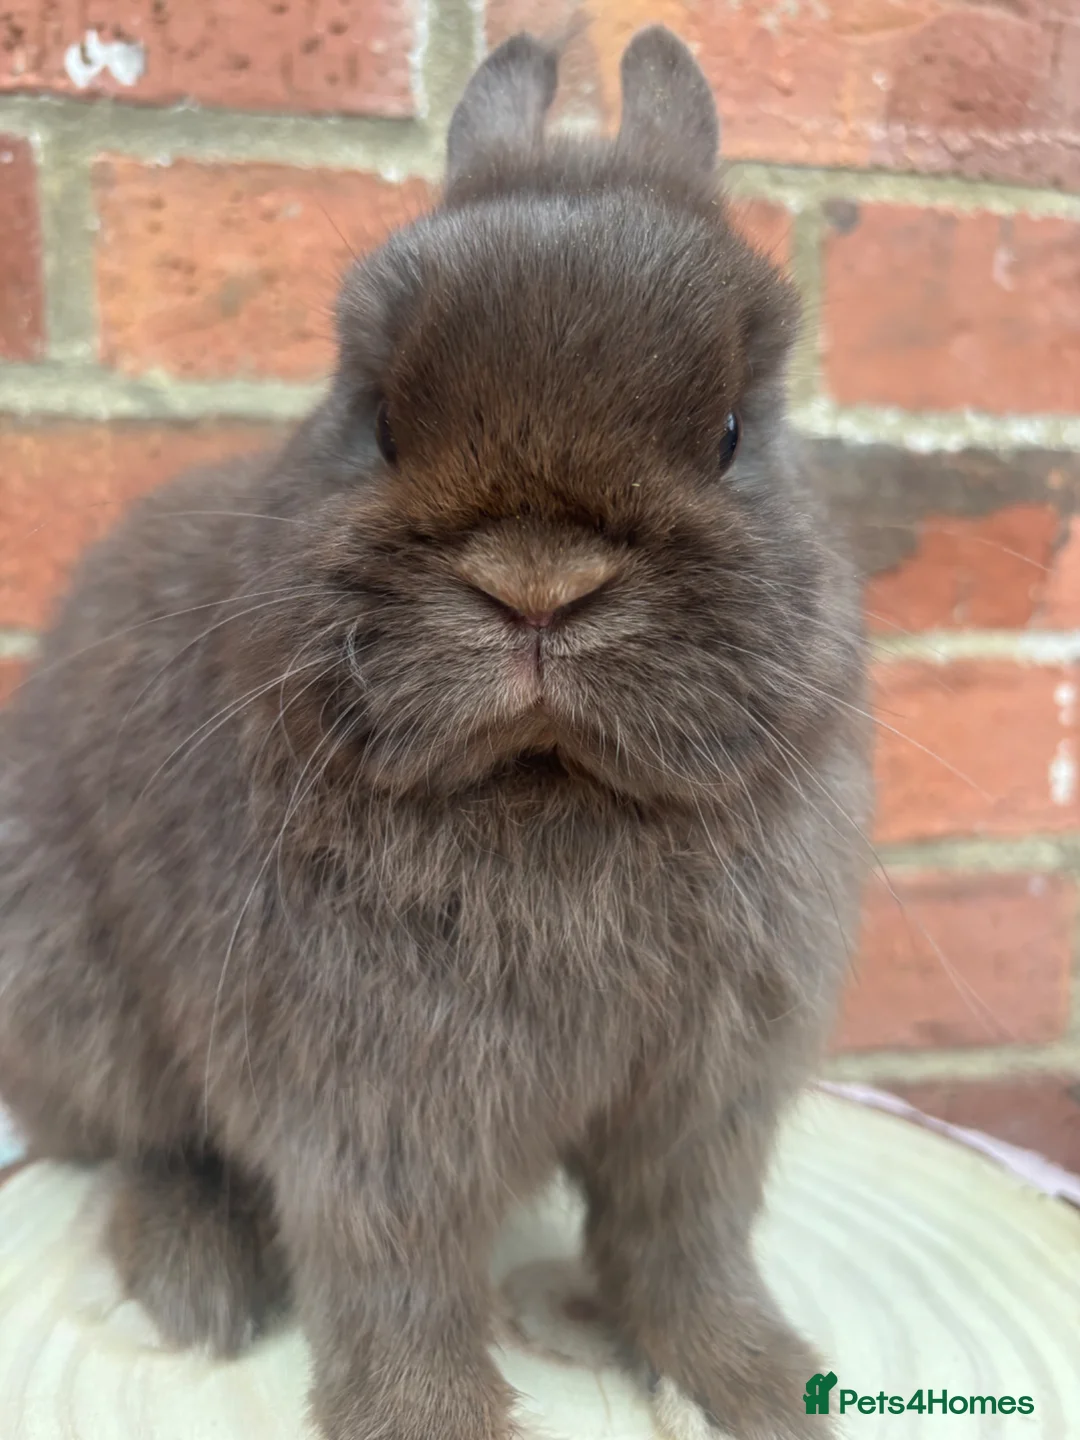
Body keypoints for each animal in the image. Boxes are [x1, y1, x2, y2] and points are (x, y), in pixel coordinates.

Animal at [0, 26, 868, 1440]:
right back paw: (197, 1277)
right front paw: (427, 1419)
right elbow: (392, 1281)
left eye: (735, 433)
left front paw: (765, 1391)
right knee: (147, 1144)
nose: (538, 585)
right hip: (75, 1000)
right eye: (382, 423)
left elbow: (686, 1254)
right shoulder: (371, 1110)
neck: (546, 789)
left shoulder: (702, 1104)